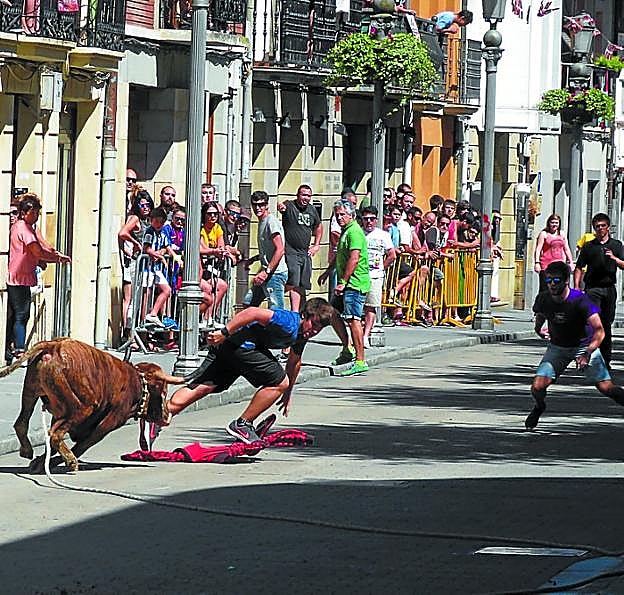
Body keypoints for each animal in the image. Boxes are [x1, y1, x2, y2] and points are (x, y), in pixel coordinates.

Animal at [0, 338, 186, 473]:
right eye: (164, 392)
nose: (167, 415)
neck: (138, 383)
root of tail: (54, 346)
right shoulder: (107, 424)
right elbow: (82, 445)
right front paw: (61, 461)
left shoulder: (60, 415)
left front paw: (40, 462)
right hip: (83, 408)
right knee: (55, 435)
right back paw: (71, 461)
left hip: (30, 392)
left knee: (22, 423)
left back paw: (27, 451)